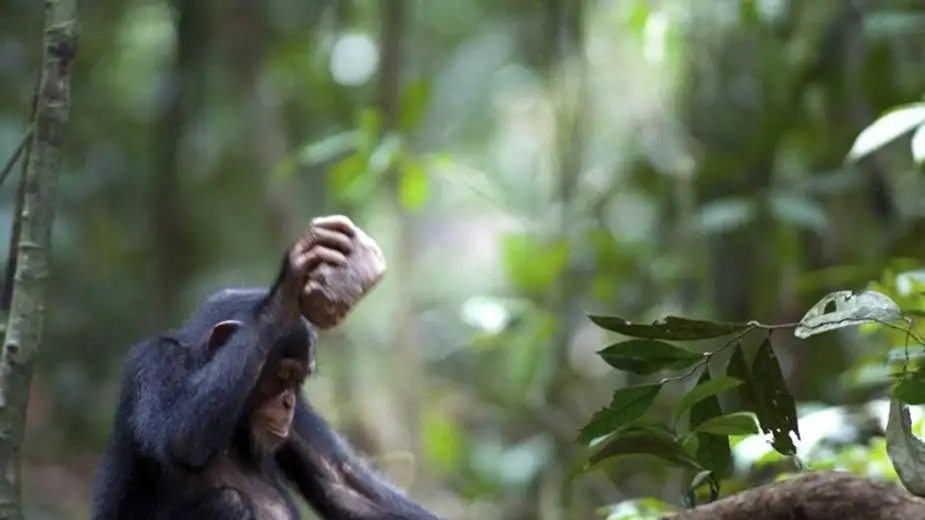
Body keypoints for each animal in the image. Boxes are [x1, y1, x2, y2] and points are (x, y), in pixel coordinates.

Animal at [93, 215, 440, 520]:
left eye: (299, 380)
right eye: (284, 372)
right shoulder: (154, 363)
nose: (287, 402)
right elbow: (182, 437)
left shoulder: (299, 418)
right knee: (226, 501)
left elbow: (343, 485)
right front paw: (294, 277)